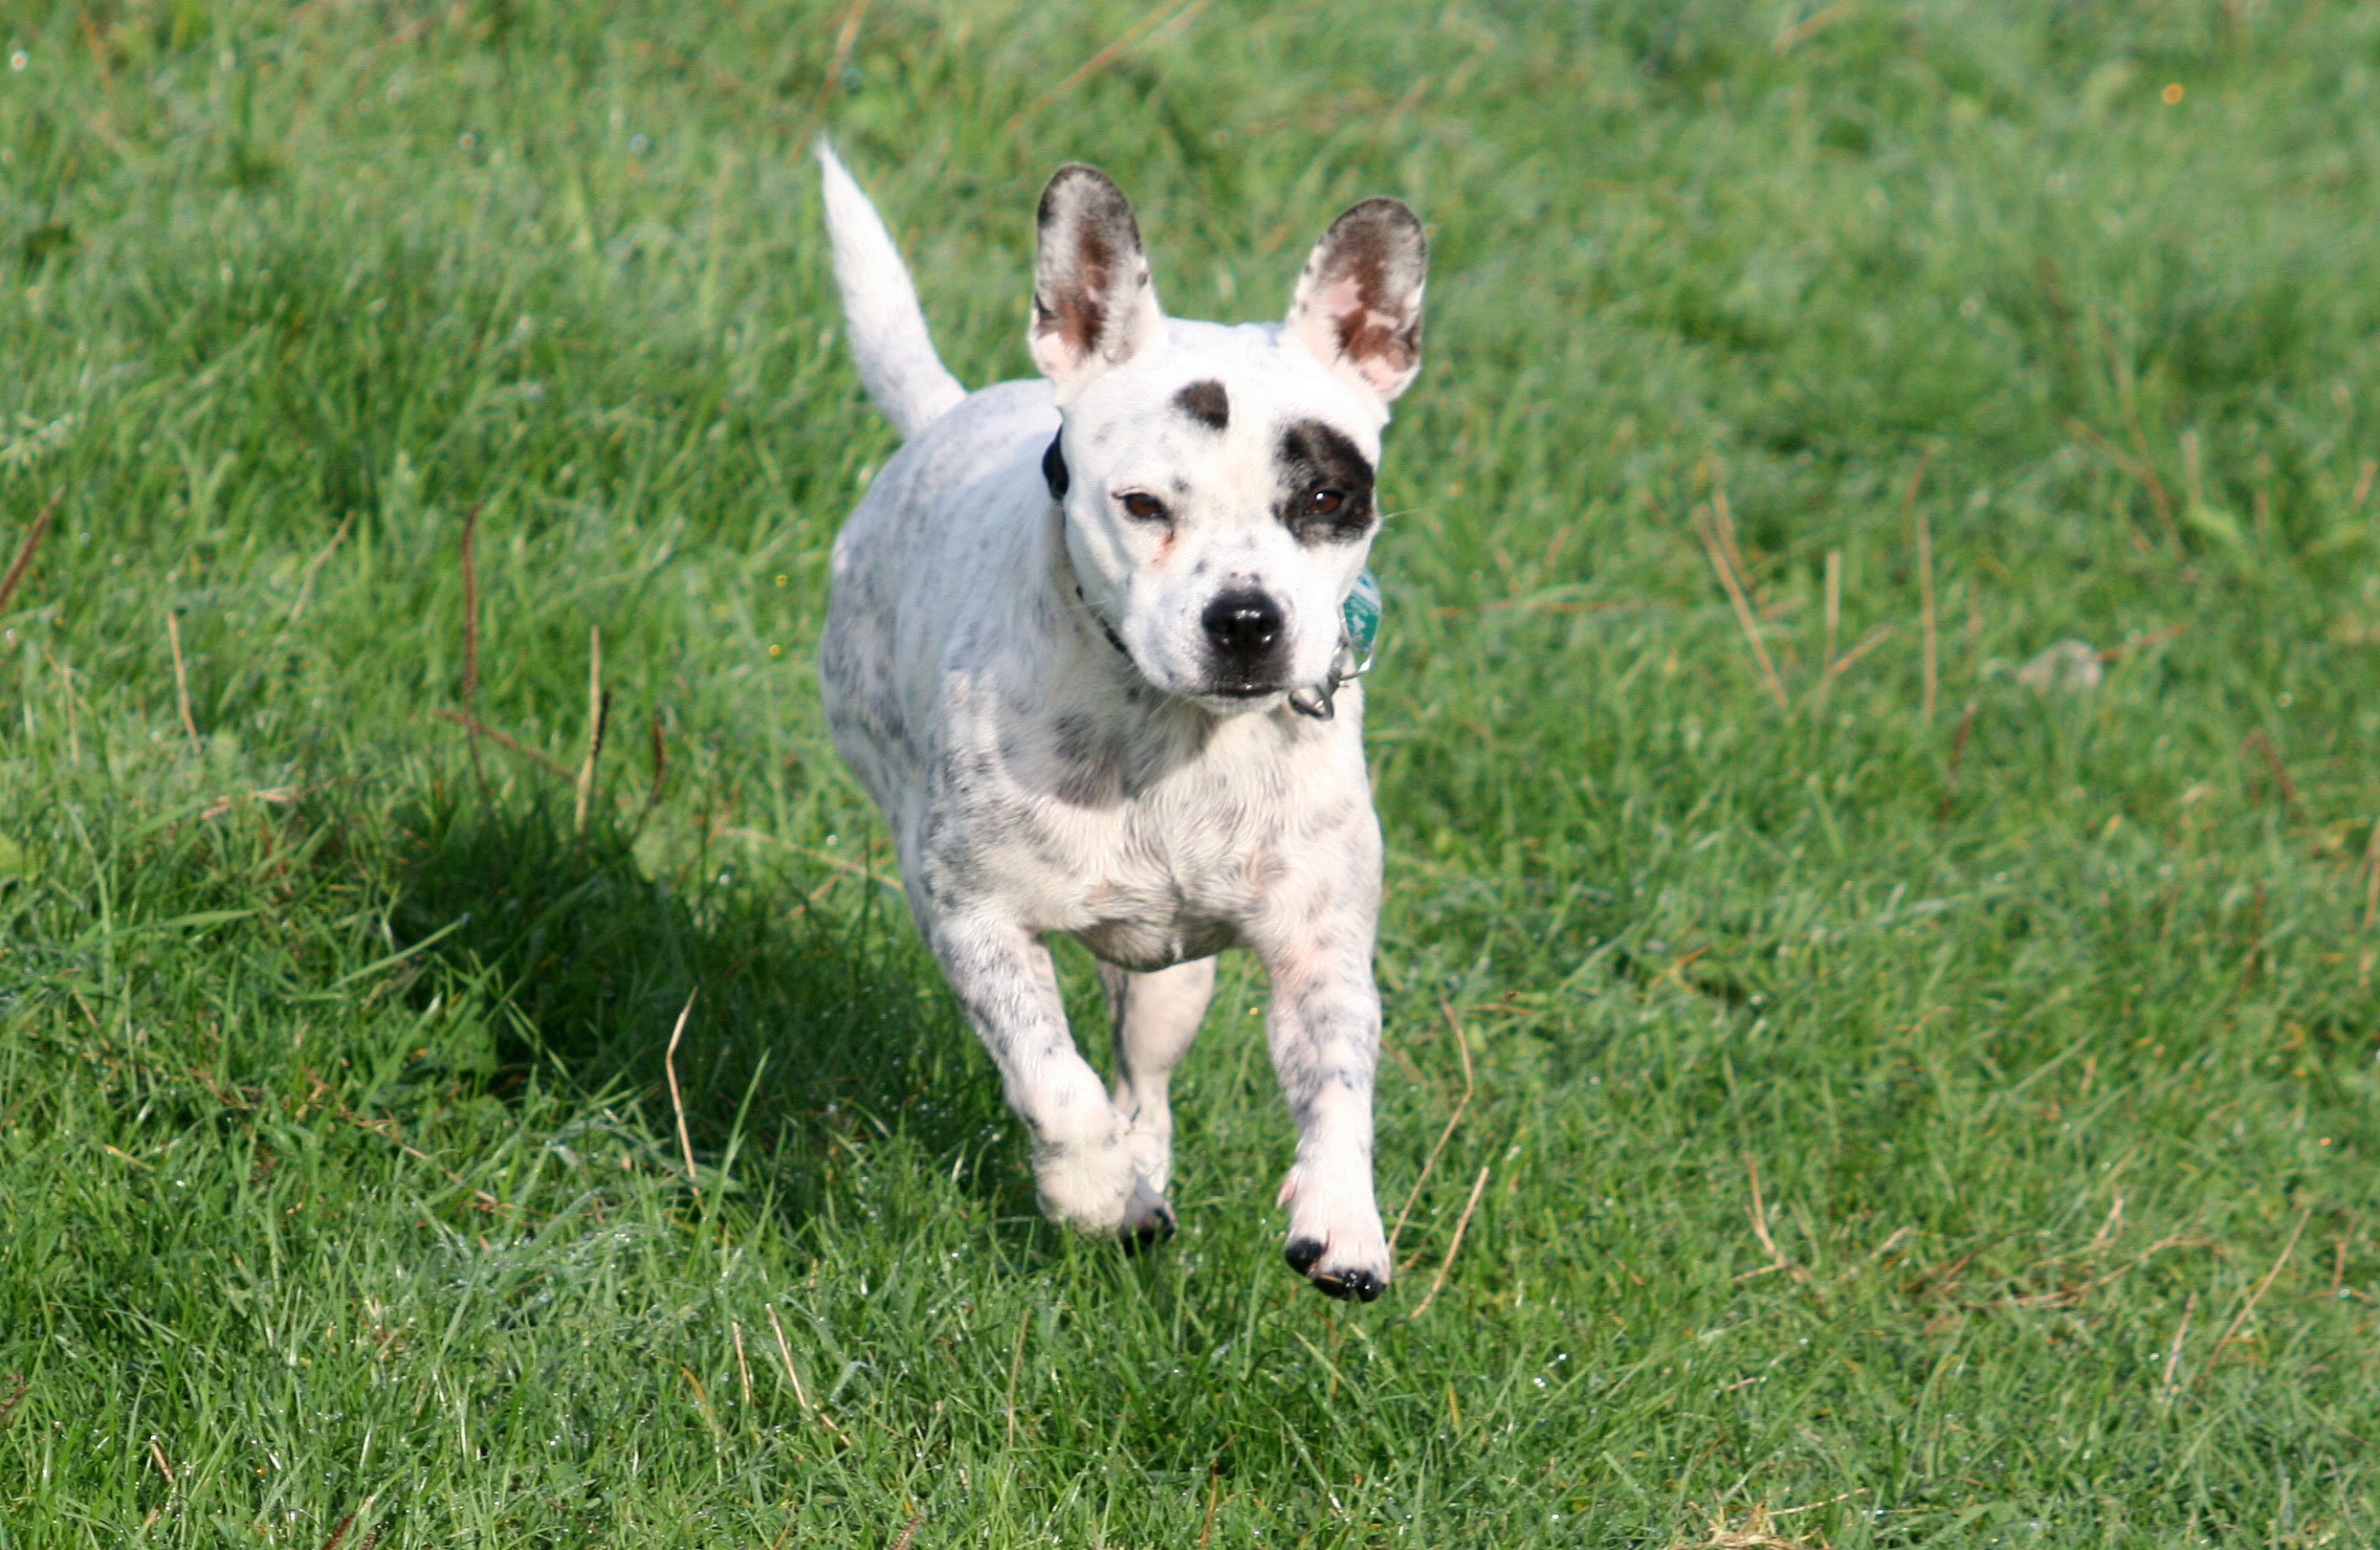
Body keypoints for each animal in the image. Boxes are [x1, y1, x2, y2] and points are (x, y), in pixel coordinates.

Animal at [808, 142, 1418, 1295]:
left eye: (1326, 500)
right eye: (1141, 506)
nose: (1247, 619)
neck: (1168, 732)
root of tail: (948, 411)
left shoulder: (1319, 940)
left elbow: (1338, 1072)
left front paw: (1344, 1217)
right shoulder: (972, 918)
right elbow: (1050, 1078)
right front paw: (1089, 1192)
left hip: (1173, 982)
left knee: (1147, 1080)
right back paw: (1122, 1192)